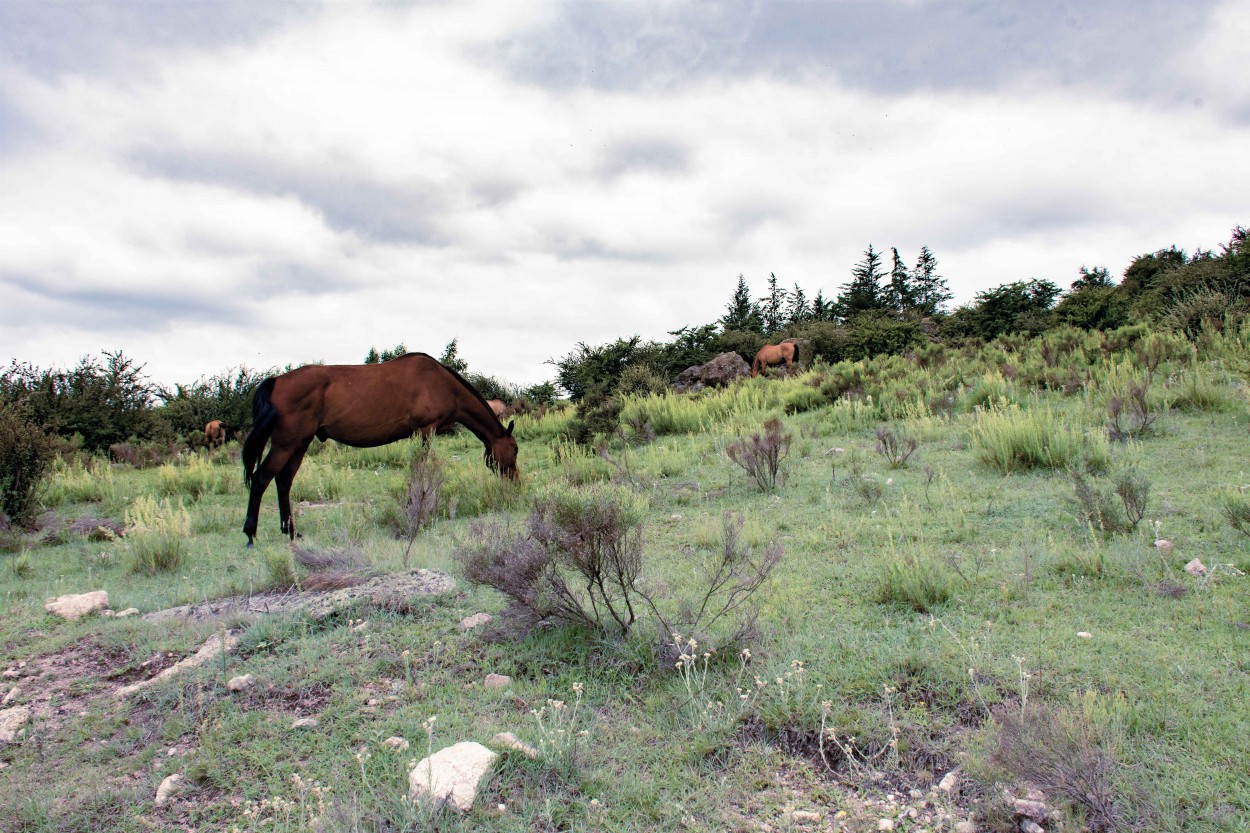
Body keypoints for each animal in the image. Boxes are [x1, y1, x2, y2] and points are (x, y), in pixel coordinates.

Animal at [241, 350, 515, 545]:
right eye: (514, 451)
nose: (515, 483)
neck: (442, 384)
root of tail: (277, 381)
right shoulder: (424, 431)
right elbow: (419, 469)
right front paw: (414, 508)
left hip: (300, 443)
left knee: (283, 481)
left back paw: (290, 532)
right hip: (287, 443)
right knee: (261, 478)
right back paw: (251, 534)